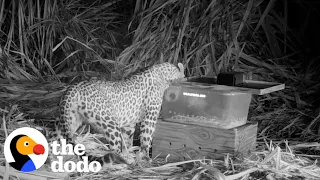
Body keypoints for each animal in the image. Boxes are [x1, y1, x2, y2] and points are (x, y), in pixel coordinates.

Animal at [46, 62, 184, 166]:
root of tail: (73, 87)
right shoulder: (150, 117)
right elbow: (146, 137)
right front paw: (144, 157)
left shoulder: (129, 124)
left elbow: (127, 140)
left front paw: (129, 154)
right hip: (110, 123)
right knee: (114, 148)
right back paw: (119, 162)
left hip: (69, 119)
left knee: (51, 137)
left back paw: (51, 161)